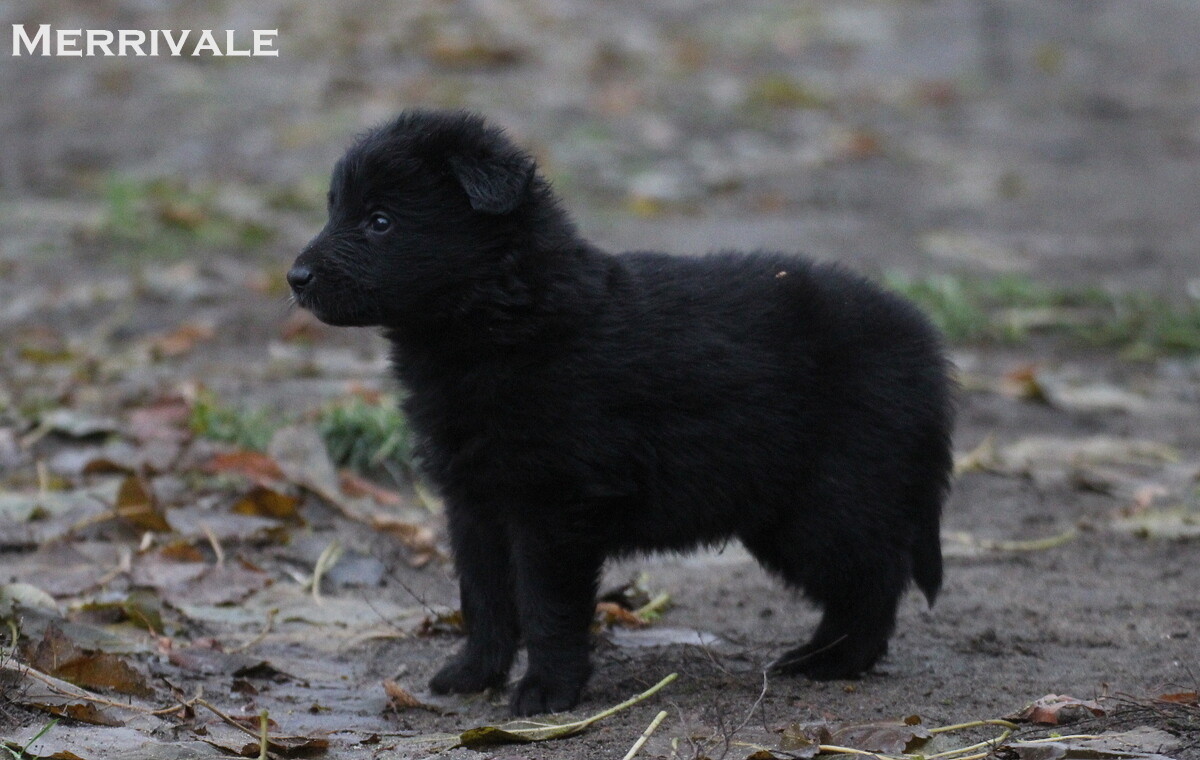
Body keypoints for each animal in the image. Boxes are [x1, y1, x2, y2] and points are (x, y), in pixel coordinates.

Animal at [288, 109, 954, 716]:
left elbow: (547, 604)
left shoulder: (554, 504)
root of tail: (926, 347)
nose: (295, 276)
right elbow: (484, 594)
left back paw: (831, 660)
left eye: (380, 221)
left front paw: (546, 691)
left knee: (873, 579)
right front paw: (474, 673)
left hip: (828, 499)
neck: (505, 317)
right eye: (334, 209)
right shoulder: (473, 499)